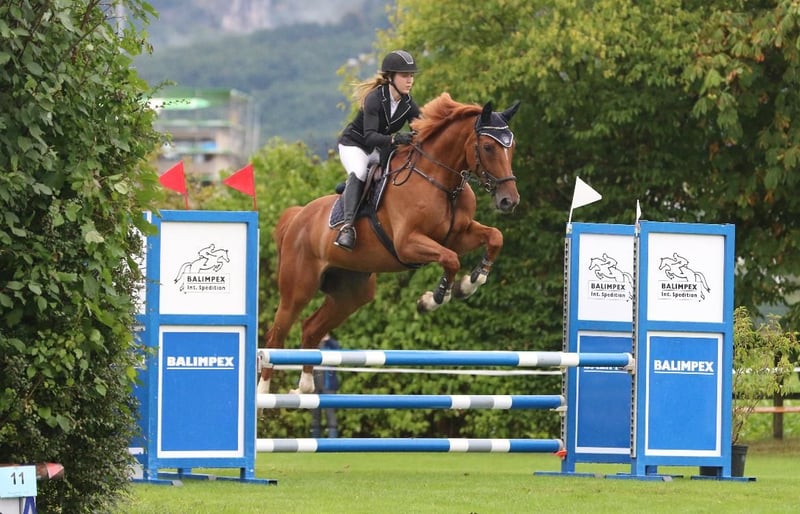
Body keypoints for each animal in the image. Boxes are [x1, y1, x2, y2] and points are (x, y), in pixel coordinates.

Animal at [258, 92, 521, 395]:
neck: (441, 180)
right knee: (276, 336)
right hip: (297, 290)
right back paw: (263, 392)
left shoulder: (459, 234)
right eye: (488, 147)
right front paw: (434, 299)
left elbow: (494, 237)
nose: (509, 200)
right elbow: (451, 259)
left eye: (512, 147)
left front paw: (472, 282)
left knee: (311, 328)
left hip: (351, 293)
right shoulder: (408, 244)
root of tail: (297, 217)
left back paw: (305, 387)